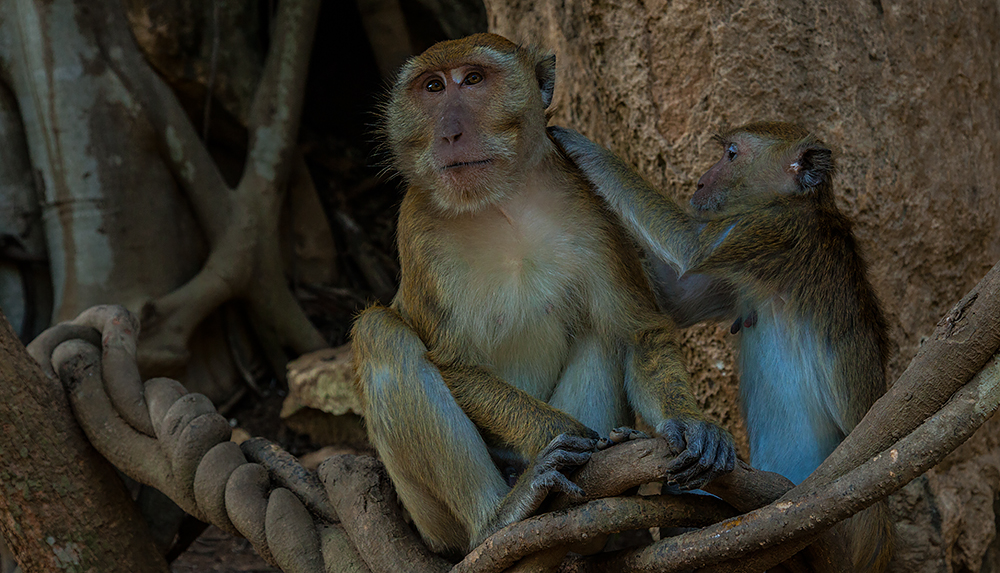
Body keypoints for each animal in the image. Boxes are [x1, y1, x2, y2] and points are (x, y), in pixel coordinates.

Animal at [352, 33, 736, 552]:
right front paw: (569, 434)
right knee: (381, 333)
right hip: (427, 518)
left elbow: (636, 332)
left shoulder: (591, 208)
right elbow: (454, 363)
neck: (503, 204)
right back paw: (502, 513)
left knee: (603, 334)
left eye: (472, 79)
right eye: (432, 87)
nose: (449, 133)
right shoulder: (417, 227)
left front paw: (688, 423)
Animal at [556, 123, 900, 568]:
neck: (799, 203)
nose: (701, 181)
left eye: (732, 154)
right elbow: (676, 299)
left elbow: (690, 247)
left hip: (846, 528)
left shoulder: (770, 230)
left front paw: (577, 144)